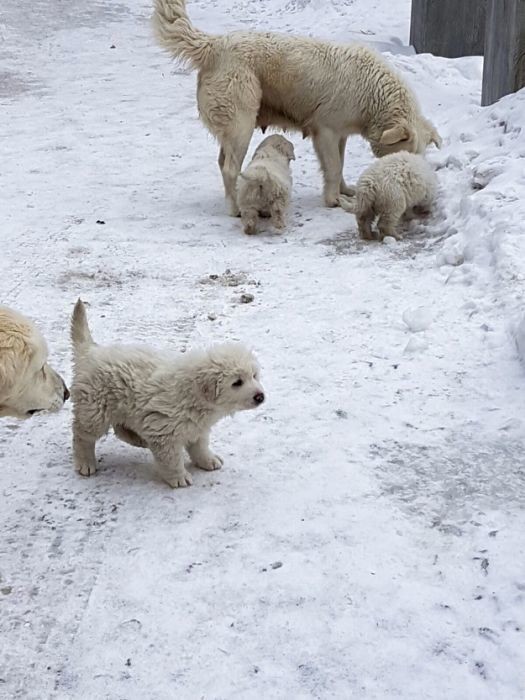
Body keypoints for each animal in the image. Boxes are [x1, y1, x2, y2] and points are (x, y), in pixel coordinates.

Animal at [69, 300, 264, 486]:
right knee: (82, 435)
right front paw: (179, 478)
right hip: (95, 409)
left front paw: (208, 460)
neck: (194, 396)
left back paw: (138, 439)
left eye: (254, 376)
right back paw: (85, 463)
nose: (260, 397)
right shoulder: (164, 431)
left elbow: (199, 447)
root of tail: (91, 351)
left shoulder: (197, 427)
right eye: (237, 382)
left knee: (120, 428)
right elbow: (172, 459)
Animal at [151, 0, 438, 215]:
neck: (373, 94)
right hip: (241, 124)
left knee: (223, 163)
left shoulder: (340, 134)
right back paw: (236, 209)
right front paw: (333, 201)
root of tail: (214, 45)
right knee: (230, 169)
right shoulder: (325, 132)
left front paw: (345, 190)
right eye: (404, 153)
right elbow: (334, 167)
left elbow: (340, 164)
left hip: (232, 128)